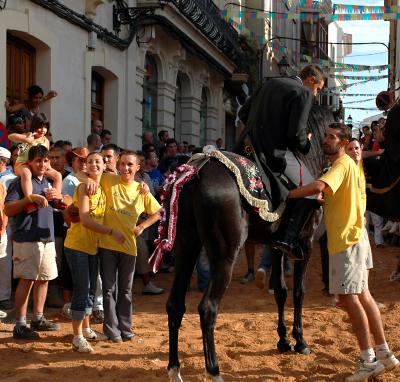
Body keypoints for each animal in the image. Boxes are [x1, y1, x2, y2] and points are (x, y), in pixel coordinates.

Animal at [164, 105, 336, 382]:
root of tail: (197, 172)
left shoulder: (277, 246)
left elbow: (281, 291)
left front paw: (283, 340)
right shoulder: (306, 244)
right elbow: (299, 292)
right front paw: (300, 341)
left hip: (186, 250)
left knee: (175, 305)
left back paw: (174, 369)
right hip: (224, 256)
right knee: (207, 308)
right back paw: (214, 371)